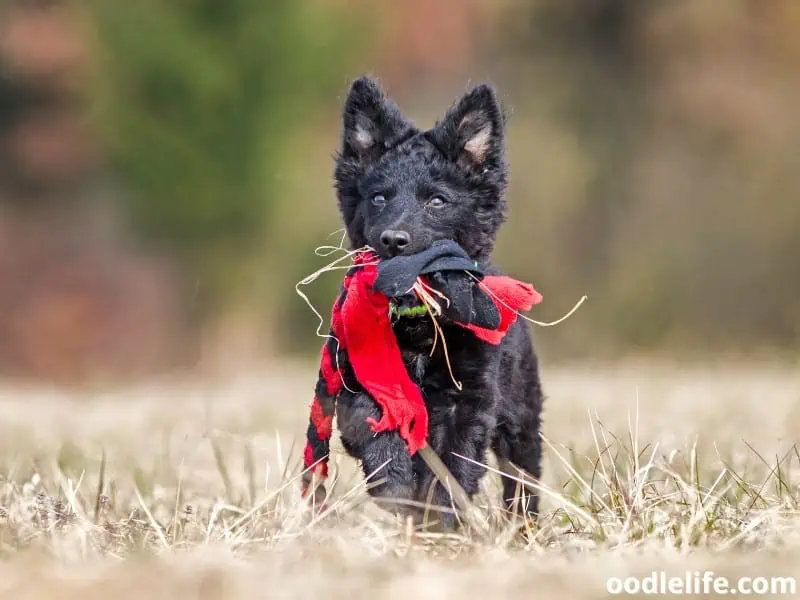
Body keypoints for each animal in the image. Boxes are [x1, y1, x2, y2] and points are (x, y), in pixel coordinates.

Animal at [324, 76, 544, 528]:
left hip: (522, 420)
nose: (393, 240)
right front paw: (396, 488)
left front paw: (439, 523)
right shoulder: (360, 384)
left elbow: (450, 473)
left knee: (522, 475)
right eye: (379, 198)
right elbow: (378, 437)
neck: (418, 323)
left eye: (437, 201)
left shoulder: (468, 402)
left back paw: (523, 526)